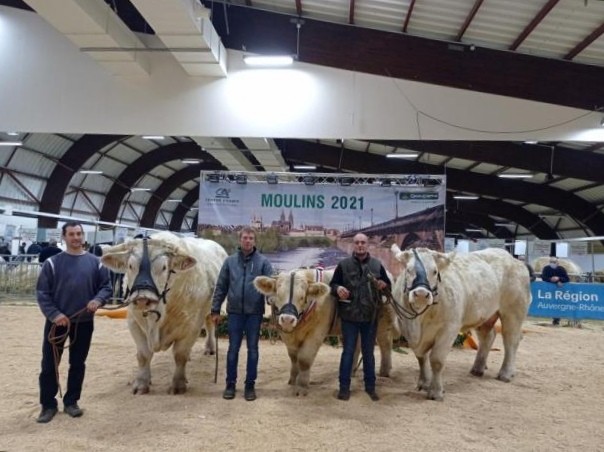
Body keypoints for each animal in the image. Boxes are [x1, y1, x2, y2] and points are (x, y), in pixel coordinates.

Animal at [102, 231, 229, 394]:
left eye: (163, 267)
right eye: (130, 266)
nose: (143, 298)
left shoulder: (191, 326)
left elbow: (180, 355)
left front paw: (178, 384)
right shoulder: (134, 323)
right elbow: (143, 355)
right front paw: (141, 383)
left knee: (209, 325)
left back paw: (210, 348)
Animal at [254, 268, 402, 396]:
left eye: (302, 297)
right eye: (278, 295)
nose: (287, 320)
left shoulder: (317, 332)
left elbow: (304, 359)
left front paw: (302, 387)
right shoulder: (287, 336)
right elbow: (294, 358)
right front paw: (292, 381)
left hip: (383, 322)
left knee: (385, 344)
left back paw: (384, 372)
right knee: (356, 346)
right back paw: (352, 371)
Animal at [392, 245, 528, 400]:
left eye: (435, 271)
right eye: (408, 270)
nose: (421, 294)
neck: (419, 321)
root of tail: (513, 259)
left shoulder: (449, 328)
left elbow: (437, 360)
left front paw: (436, 391)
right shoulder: (407, 329)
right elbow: (421, 357)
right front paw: (424, 383)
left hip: (513, 312)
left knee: (511, 341)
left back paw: (506, 373)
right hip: (484, 315)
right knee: (488, 337)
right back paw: (478, 368)